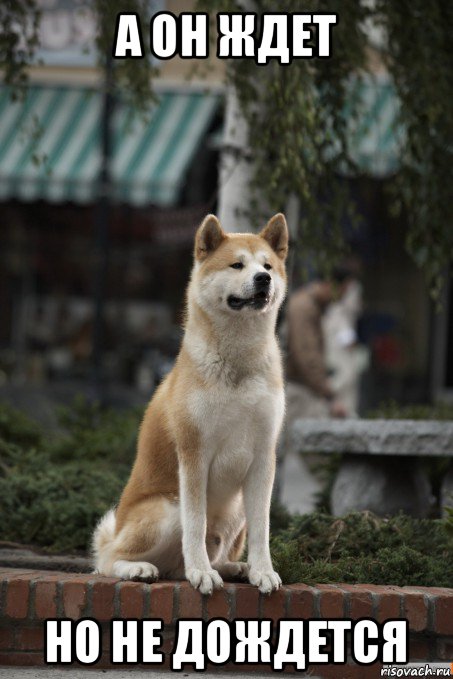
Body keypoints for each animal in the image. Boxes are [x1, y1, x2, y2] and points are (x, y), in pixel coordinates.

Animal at [93, 212, 288, 596]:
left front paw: (263, 571)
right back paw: (142, 568)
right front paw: (201, 573)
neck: (237, 364)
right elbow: (195, 526)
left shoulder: (263, 457)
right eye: (237, 264)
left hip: (236, 509)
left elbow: (263, 530)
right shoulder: (194, 454)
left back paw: (235, 568)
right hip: (167, 508)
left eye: (268, 266)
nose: (263, 279)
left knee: (203, 558)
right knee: (108, 560)